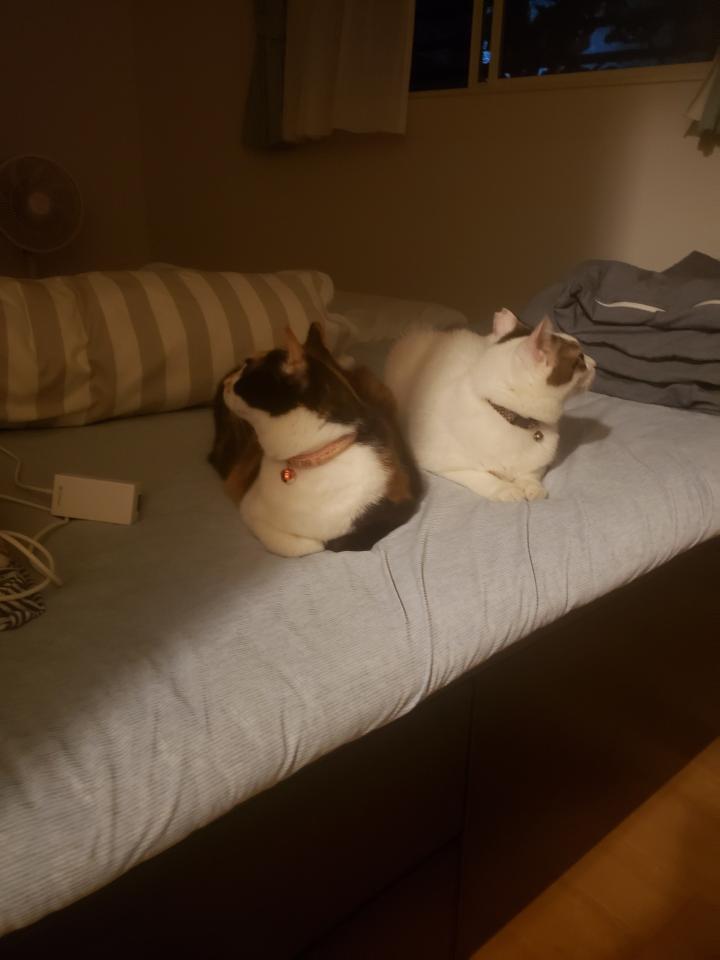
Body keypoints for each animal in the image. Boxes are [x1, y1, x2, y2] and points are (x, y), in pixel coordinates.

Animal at [210, 323, 423, 556]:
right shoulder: (249, 505)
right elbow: (299, 546)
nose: (225, 382)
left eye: (247, 367)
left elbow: (329, 544)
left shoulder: (402, 501)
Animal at [384, 309, 595, 502]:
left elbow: (531, 473)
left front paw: (531, 487)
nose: (595, 363)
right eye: (580, 358)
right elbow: (481, 476)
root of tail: (424, 331)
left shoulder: (539, 463)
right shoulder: (442, 463)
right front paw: (505, 489)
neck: (512, 419)